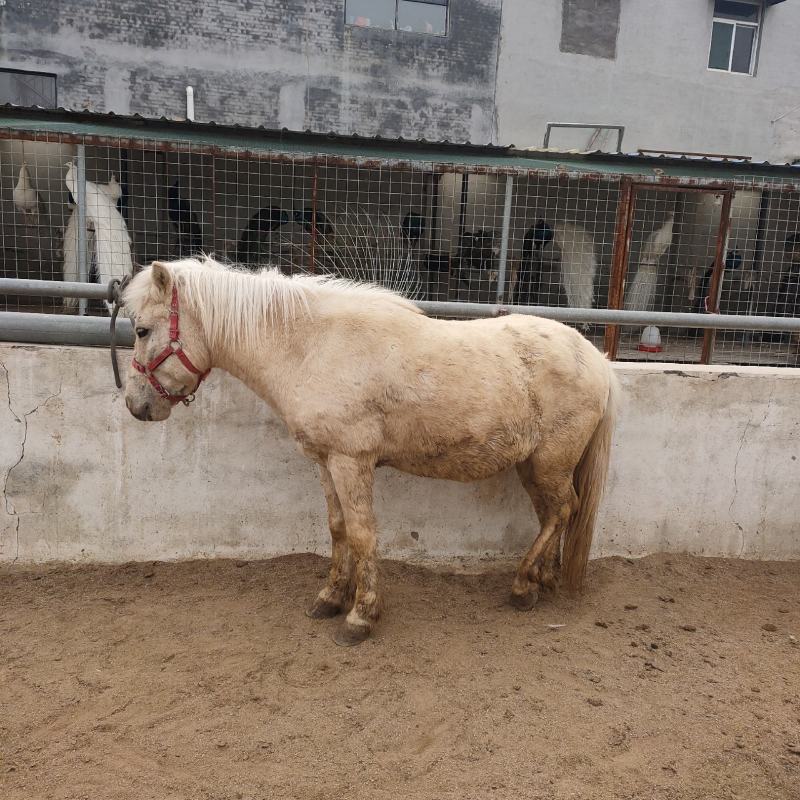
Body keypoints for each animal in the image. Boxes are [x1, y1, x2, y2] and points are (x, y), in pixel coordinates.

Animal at [123, 256, 620, 646]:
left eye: (142, 330)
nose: (135, 406)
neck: (312, 347)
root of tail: (596, 360)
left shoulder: (351, 461)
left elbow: (363, 535)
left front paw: (360, 617)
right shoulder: (325, 462)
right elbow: (338, 529)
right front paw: (329, 599)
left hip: (551, 462)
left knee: (562, 510)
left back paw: (521, 586)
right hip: (533, 466)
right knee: (553, 514)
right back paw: (541, 581)